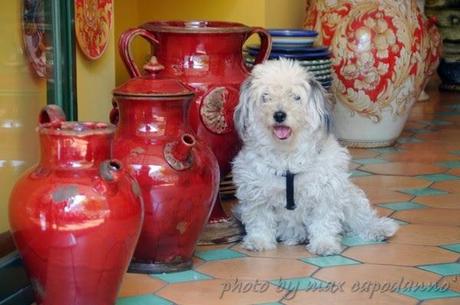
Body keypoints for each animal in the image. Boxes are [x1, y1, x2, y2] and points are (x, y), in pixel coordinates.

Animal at [232, 58, 398, 254]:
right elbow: (260, 220)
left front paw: (324, 244)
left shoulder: (326, 192)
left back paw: (379, 228)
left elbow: (324, 222)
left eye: (296, 97)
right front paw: (259, 241)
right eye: (265, 97)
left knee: (361, 218)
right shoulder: (256, 194)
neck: (287, 156)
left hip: (350, 197)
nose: (279, 115)